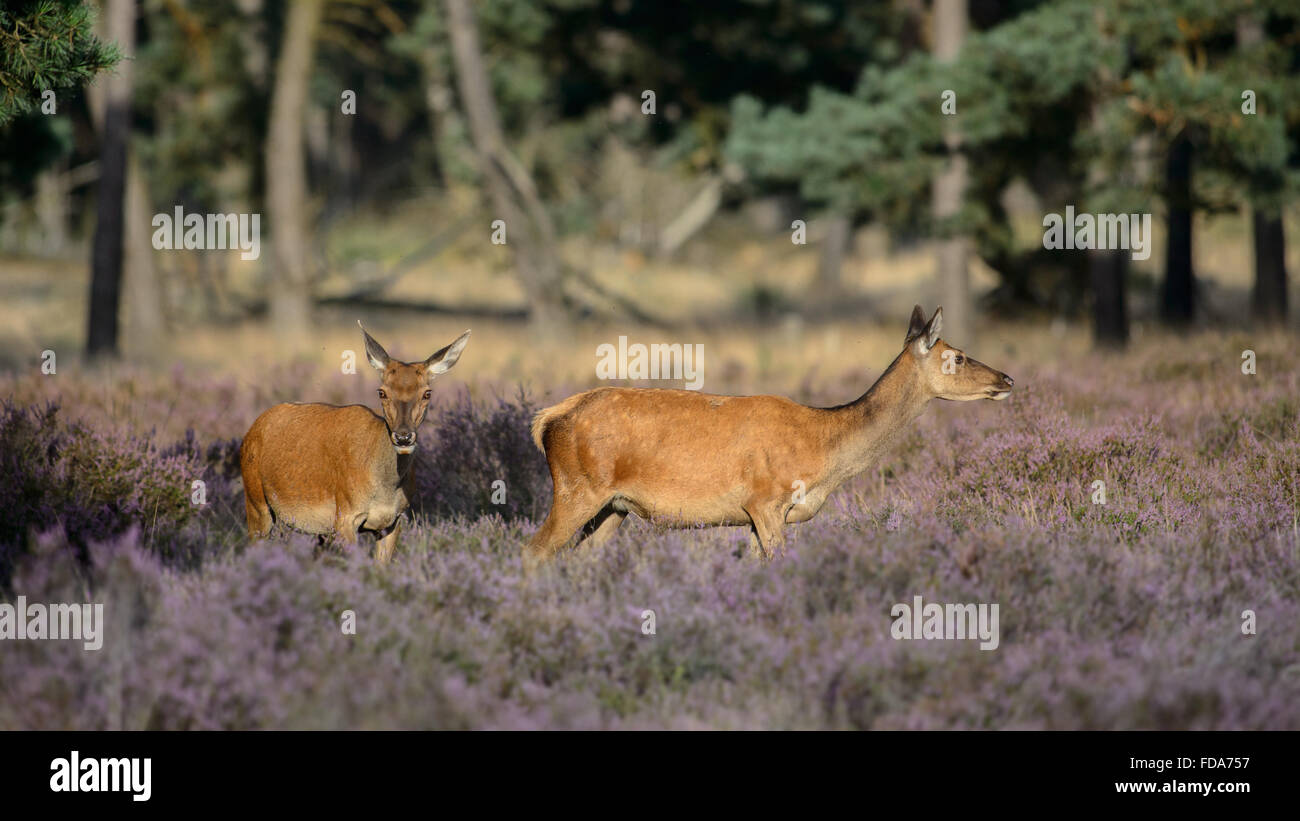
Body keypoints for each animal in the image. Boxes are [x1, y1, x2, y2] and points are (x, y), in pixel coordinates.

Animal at [240, 323, 473, 561]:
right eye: (382, 392)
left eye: (427, 393)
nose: (403, 436)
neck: (386, 488)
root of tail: (252, 428)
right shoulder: (345, 515)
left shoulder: (394, 520)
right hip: (255, 501)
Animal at [527, 305, 1013, 561]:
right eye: (958, 357)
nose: (1007, 379)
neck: (823, 451)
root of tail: (547, 419)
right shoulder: (764, 500)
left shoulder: (755, 516)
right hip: (575, 488)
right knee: (534, 551)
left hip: (615, 507)